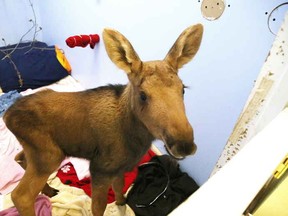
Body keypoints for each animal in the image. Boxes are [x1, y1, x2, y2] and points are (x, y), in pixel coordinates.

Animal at [3, 22, 202, 215]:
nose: (184, 144)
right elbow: (99, 206)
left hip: (34, 150)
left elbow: (120, 187)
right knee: (20, 195)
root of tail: (6, 115)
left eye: (183, 88)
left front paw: (122, 203)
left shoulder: (120, 168)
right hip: (49, 155)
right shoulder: (100, 169)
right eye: (143, 95)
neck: (135, 138)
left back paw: (50, 190)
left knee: (19, 158)